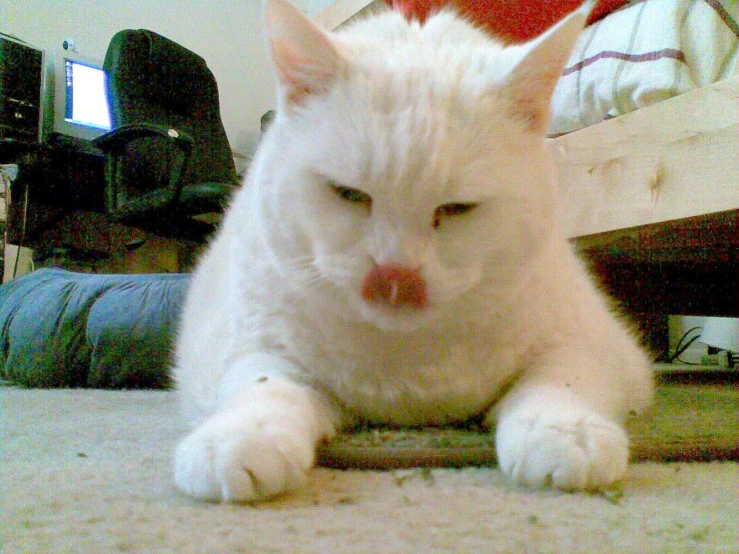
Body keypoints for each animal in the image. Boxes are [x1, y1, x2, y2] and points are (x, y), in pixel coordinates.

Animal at [172, 0, 652, 500]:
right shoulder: (255, 345)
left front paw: (564, 433)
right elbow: (263, 387)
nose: (395, 275)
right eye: (349, 194)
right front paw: (237, 439)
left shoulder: (600, 345)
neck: (407, 370)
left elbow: (561, 378)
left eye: (457, 208)